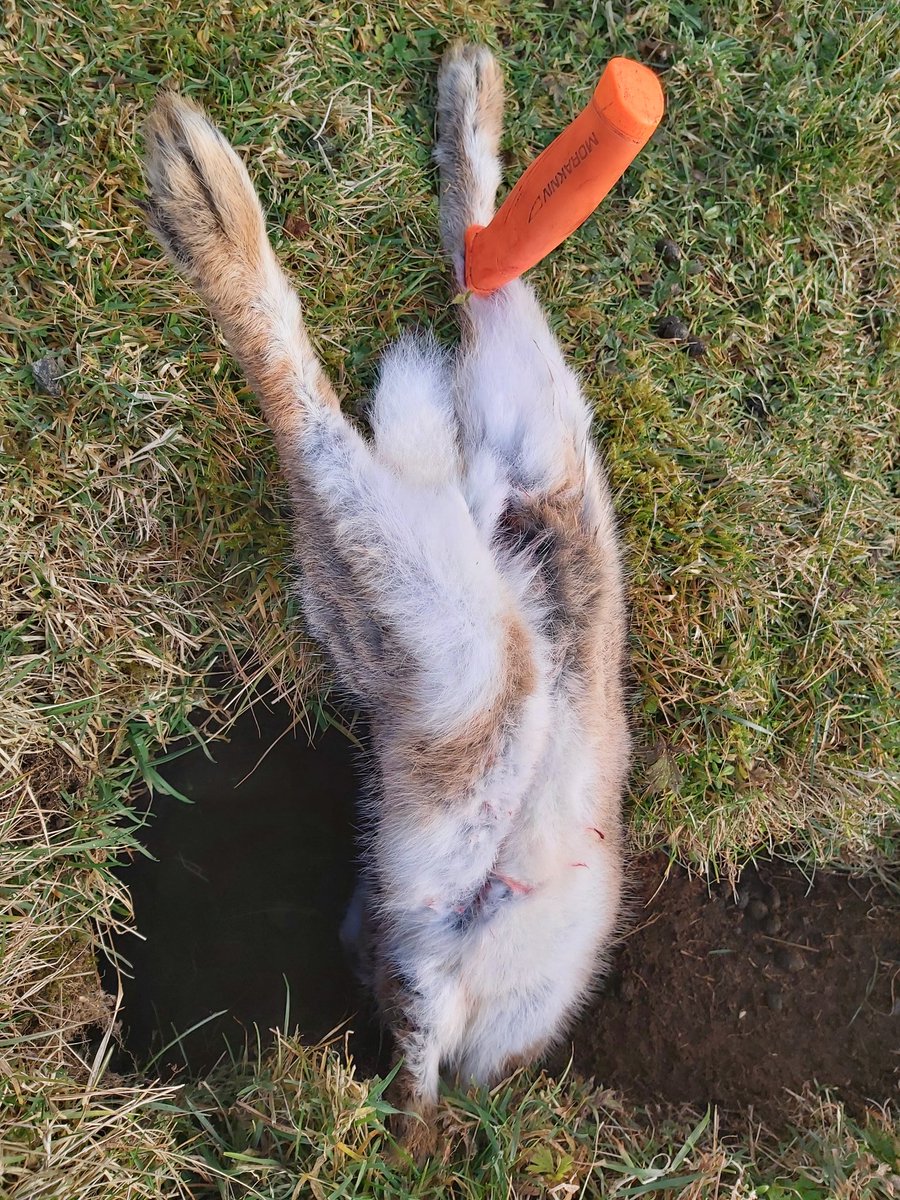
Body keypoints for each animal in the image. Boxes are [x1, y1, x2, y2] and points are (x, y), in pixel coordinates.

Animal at [141, 42, 630, 1156]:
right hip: (541, 448)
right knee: (484, 273)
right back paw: (469, 93)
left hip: (457, 646)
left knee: (308, 413)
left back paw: (198, 191)